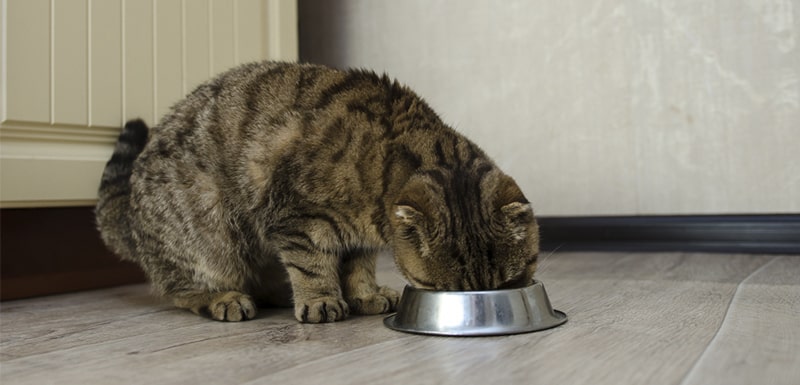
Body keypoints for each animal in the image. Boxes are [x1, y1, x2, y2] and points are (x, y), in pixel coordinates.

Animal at [97, 61, 540, 322]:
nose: (482, 304)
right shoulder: (296, 220)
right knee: (183, 289)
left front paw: (364, 294)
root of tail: (129, 214)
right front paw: (321, 300)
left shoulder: (359, 238)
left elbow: (358, 268)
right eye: (446, 291)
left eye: (508, 281)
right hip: (211, 233)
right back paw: (225, 298)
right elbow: (312, 266)